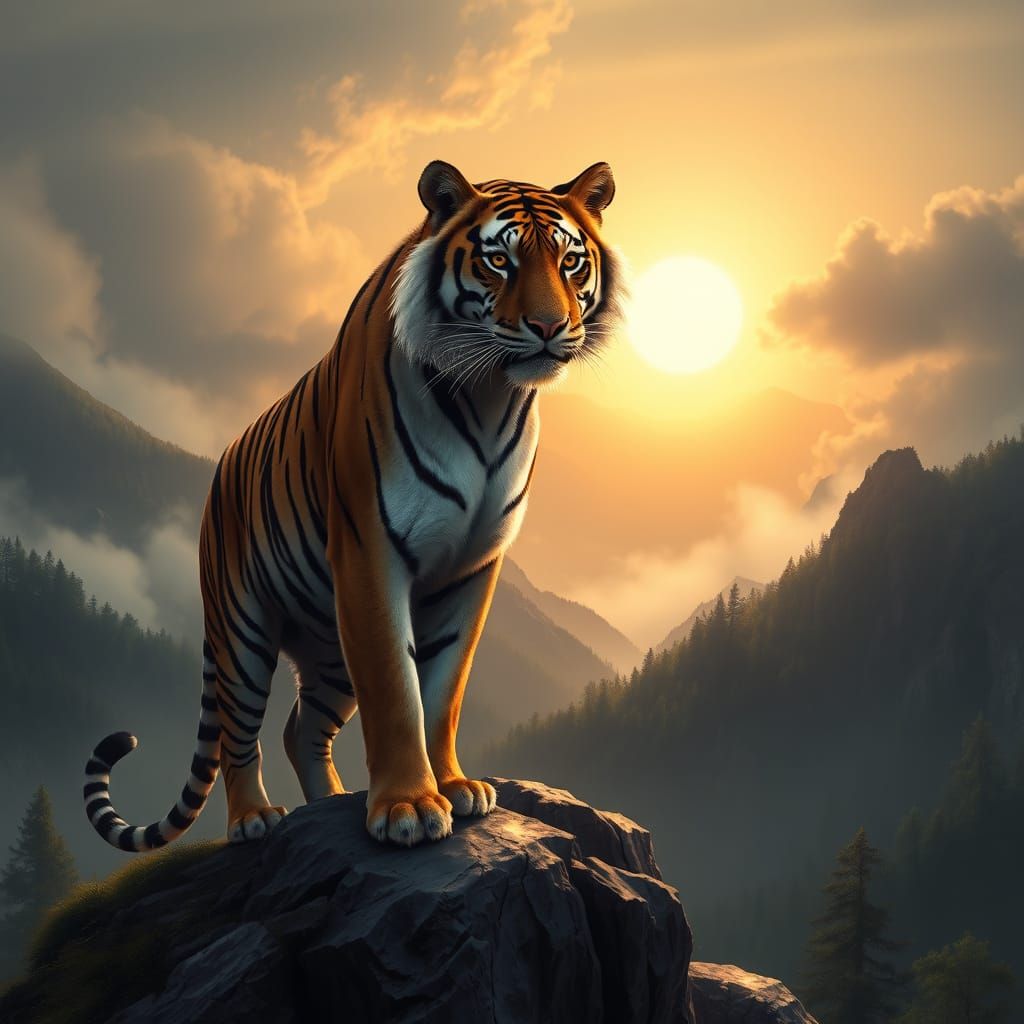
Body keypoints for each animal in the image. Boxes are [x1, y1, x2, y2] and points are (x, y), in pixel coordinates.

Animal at [83, 159, 623, 850]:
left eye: (570, 262)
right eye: (499, 261)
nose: (550, 327)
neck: (490, 397)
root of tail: (218, 471)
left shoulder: (474, 567)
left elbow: (444, 690)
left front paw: (454, 787)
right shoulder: (371, 551)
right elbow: (396, 689)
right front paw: (408, 808)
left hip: (328, 647)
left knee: (301, 729)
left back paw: (332, 802)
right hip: (243, 627)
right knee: (240, 733)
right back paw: (255, 819)